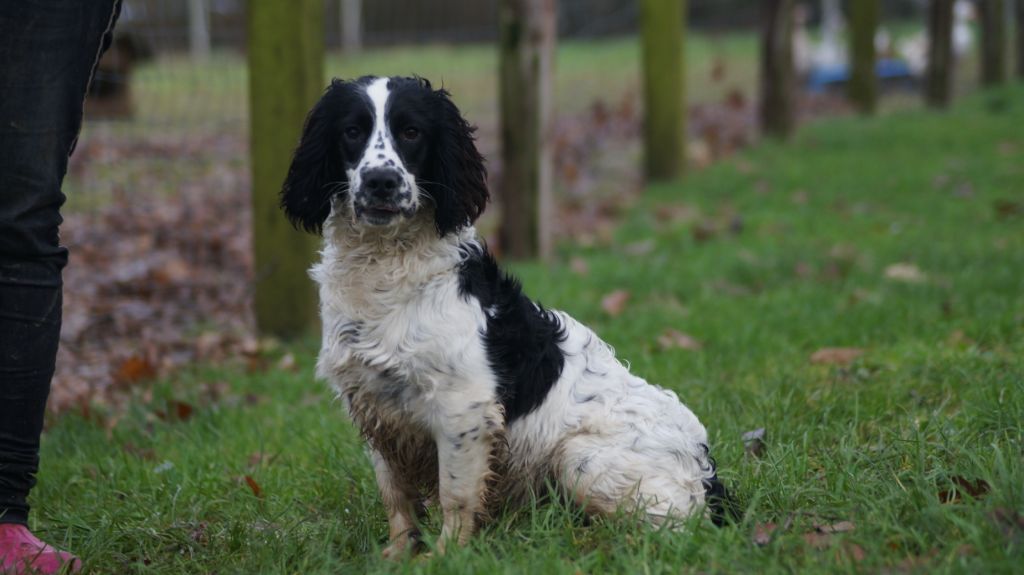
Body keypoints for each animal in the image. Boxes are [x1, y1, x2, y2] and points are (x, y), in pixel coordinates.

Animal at [280, 76, 729, 556]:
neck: (386, 269)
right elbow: (395, 493)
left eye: (411, 132)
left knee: (681, 528)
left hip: (578, 460)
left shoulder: (464, 411)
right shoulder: (373, 405)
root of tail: (705, 466)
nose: (381, 181)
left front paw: (445, 557)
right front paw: (399, 553)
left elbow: (454, 495)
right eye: (351, 131)